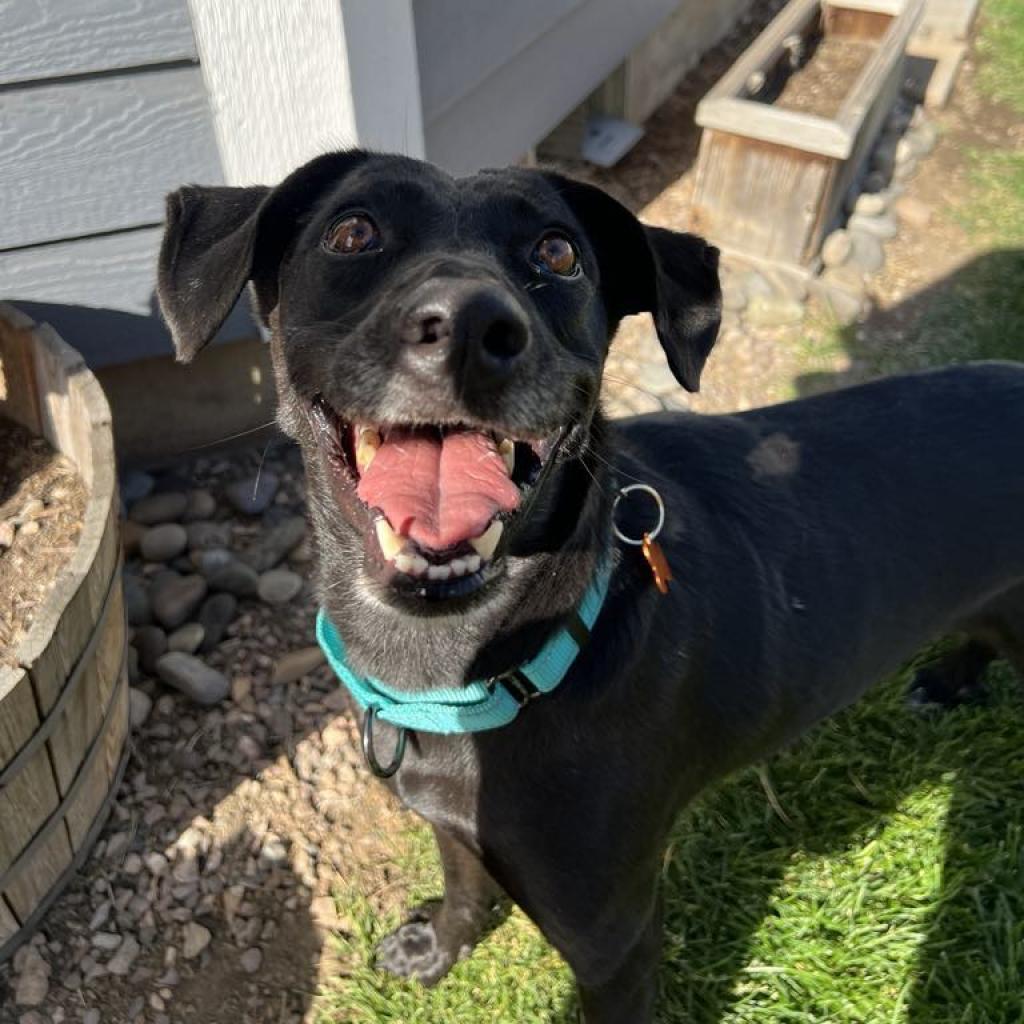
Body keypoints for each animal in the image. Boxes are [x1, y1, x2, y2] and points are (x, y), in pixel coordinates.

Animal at [155, 151, 1024, 1024]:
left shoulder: (614, 937)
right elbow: (463, 887)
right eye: (352, 231)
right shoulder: (451, 822)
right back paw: (950, 683)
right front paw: (439, 949)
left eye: (558, 252)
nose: (470, 329)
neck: (474, 671)